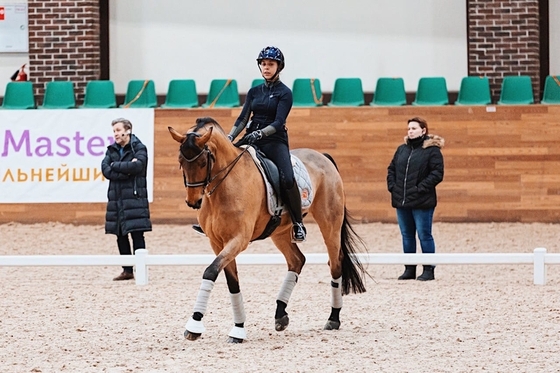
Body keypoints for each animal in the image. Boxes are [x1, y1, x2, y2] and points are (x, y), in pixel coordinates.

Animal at [168, 117, 370, 342]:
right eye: (180, 162)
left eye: (203, 162)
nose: (193, 202)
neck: (225, 186)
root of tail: (322, 157)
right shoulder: (217, 242)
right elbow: (232, 283)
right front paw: (238, 329)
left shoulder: (239, 239)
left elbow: (210, 271)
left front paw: (194, 325)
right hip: (280, 232)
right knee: (297, 260)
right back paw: (280, 315)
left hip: (330, 224)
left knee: (335, 264)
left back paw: (333, 318)